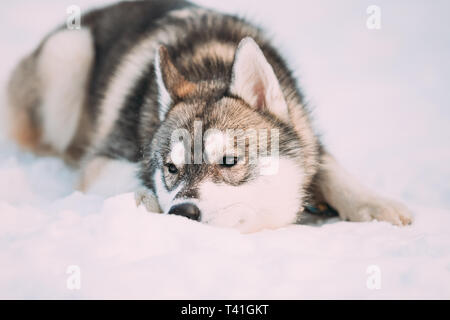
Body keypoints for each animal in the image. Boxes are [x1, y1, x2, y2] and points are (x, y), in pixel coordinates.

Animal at [5, 0, 414, 231]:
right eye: (171, 168)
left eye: (229, 161)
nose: (183, 213)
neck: (211, 67)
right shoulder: (105, 159)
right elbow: (130, 179)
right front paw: (144, 201)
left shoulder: (307, 133)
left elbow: (330, 167)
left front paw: (375, 204)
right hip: (68, 51)